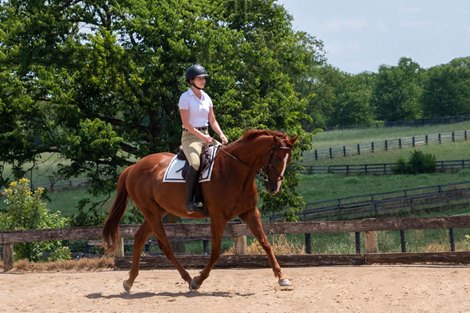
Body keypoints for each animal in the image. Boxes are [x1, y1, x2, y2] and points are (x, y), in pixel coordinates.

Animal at [103, 129, 298, 290]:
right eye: (277, 158)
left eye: (288, 160)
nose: (274, 188)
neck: (234, 169)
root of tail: (133, 167)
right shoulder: (218, 216)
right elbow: (216, 251)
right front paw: (199, 279)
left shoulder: (250, 212)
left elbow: (266, 244)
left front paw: (282, 278)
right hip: (151, 212)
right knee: (165, 245)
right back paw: (189, 279)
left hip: (157, 212)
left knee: (139, 239)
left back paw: (129, 281)